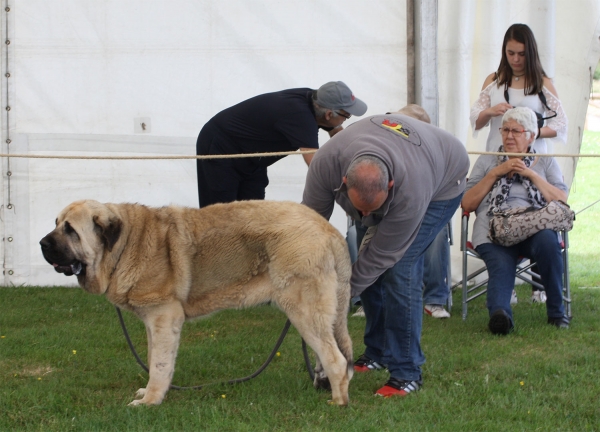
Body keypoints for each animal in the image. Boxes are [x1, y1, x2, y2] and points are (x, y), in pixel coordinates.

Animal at [39, 201, 354, 406]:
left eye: (70, 229)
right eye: (56, 224)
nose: (42, 243)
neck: (126, 246)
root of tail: (329, 230)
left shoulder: (164, 316)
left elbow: (160, 364)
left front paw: (151, 401)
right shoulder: (153, 323)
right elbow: (154, 359)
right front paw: (152, 392)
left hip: (304, 310)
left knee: (335, 358)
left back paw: (337, 402)